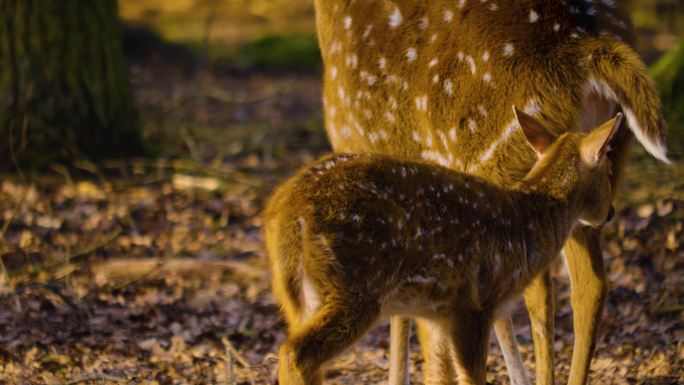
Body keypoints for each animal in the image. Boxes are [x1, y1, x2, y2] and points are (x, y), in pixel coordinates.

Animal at [312, 0, 664, 384]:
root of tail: (583, 48)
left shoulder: (361, 145)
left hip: (500, 160)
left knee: (538, 289)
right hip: (598, 174)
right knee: (591, 285)